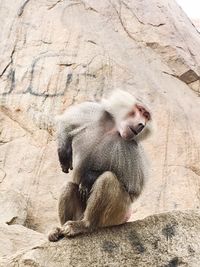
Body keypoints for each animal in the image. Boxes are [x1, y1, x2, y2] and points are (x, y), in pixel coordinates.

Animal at [48, 90, 152, 243]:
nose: (141, 125)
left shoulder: (132, 148)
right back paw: (59, 230)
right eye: (140, 110)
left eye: (146, 116)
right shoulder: (94, 112)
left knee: (108, 179)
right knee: (69, 186)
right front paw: (64, 151)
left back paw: (83, 225)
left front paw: (90, 176)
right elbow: (65, 123)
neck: (114, 128)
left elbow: (133, 189)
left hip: (118, 215)